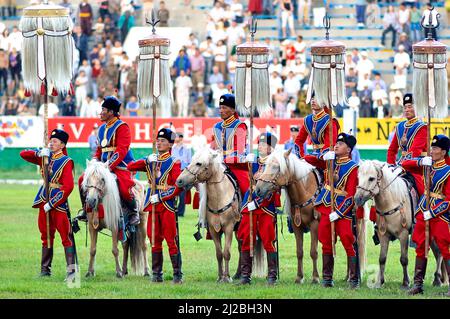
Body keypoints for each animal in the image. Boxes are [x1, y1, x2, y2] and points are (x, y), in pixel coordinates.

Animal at [255, 150, 322, 284]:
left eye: (277, 167)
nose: (258, 189)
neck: (305, 191)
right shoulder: (297, 226)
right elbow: (299, 252)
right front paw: (299, 277)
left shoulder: (314, 225)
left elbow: (313, 252)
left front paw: (315, 277)